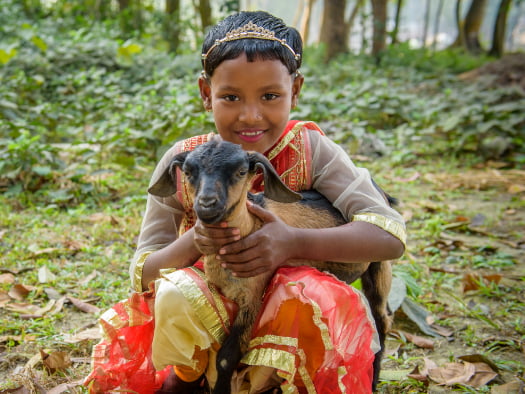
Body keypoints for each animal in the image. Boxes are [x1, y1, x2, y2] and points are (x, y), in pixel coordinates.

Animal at [149, 139, 390, 394]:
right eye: (187, 172)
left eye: (241, 171)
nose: (207, 204)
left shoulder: (253, 297)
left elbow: (225, 357)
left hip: (380, 266)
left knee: (381, 318)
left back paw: (373, 378)